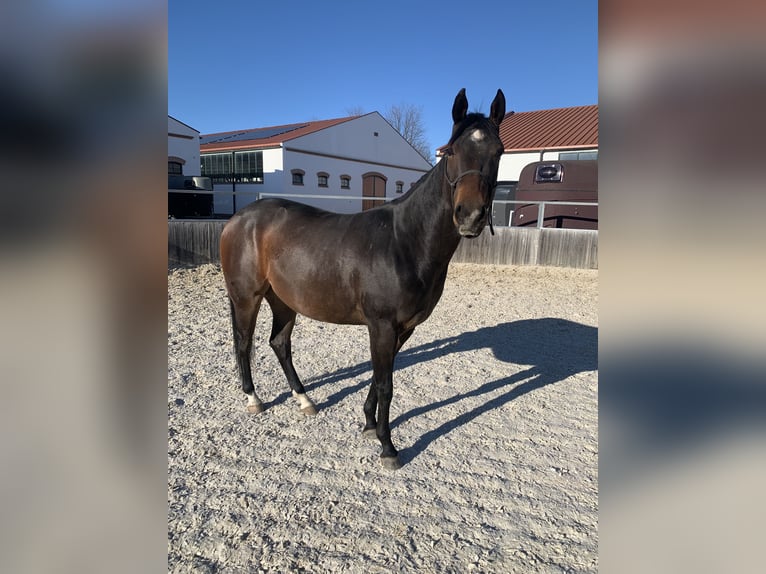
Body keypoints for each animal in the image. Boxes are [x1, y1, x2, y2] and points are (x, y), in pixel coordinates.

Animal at [220, 88, 506, 469]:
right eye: (451, 151)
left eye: (498, 151)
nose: (471, 216)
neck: (404, 240)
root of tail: (238, 218)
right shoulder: (381, 325)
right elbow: (386, 384)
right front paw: (388, 447)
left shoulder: (402, 328)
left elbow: (379, 376)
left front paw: (369, 424)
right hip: (246, 297)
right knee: (243, 343)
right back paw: (253, 399)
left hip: (283, 300)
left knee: (279, 344)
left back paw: (305, 401)